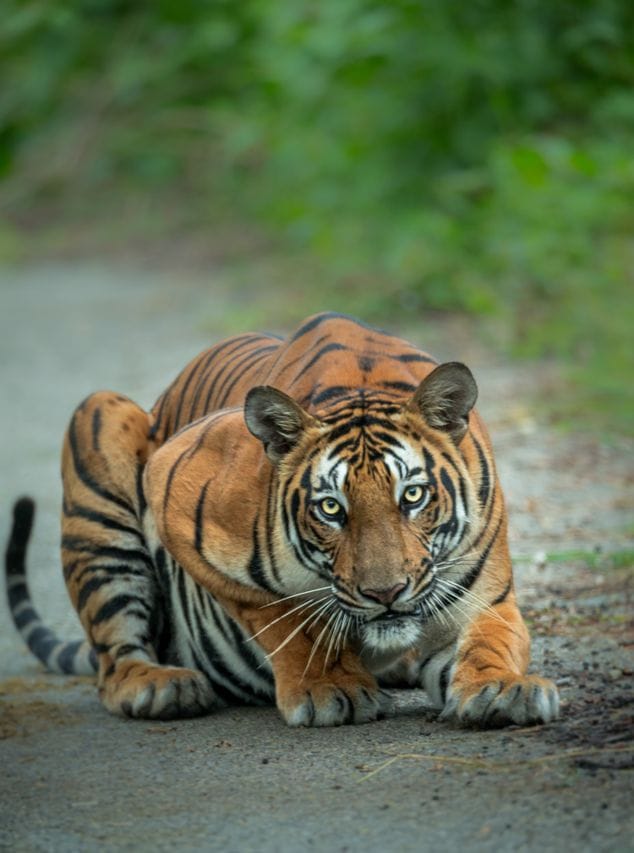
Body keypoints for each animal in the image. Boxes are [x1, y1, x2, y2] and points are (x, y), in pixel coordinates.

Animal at [6, 312, 559, 727]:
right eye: (331, 508)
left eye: (413, 496)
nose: (385, 594)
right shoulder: (173, 488)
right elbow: (285, 617)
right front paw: (328, 687)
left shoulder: (483, 595)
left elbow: (492, 639)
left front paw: (502, 687)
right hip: (100, 419)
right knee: (114, 660)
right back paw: (160, 686)